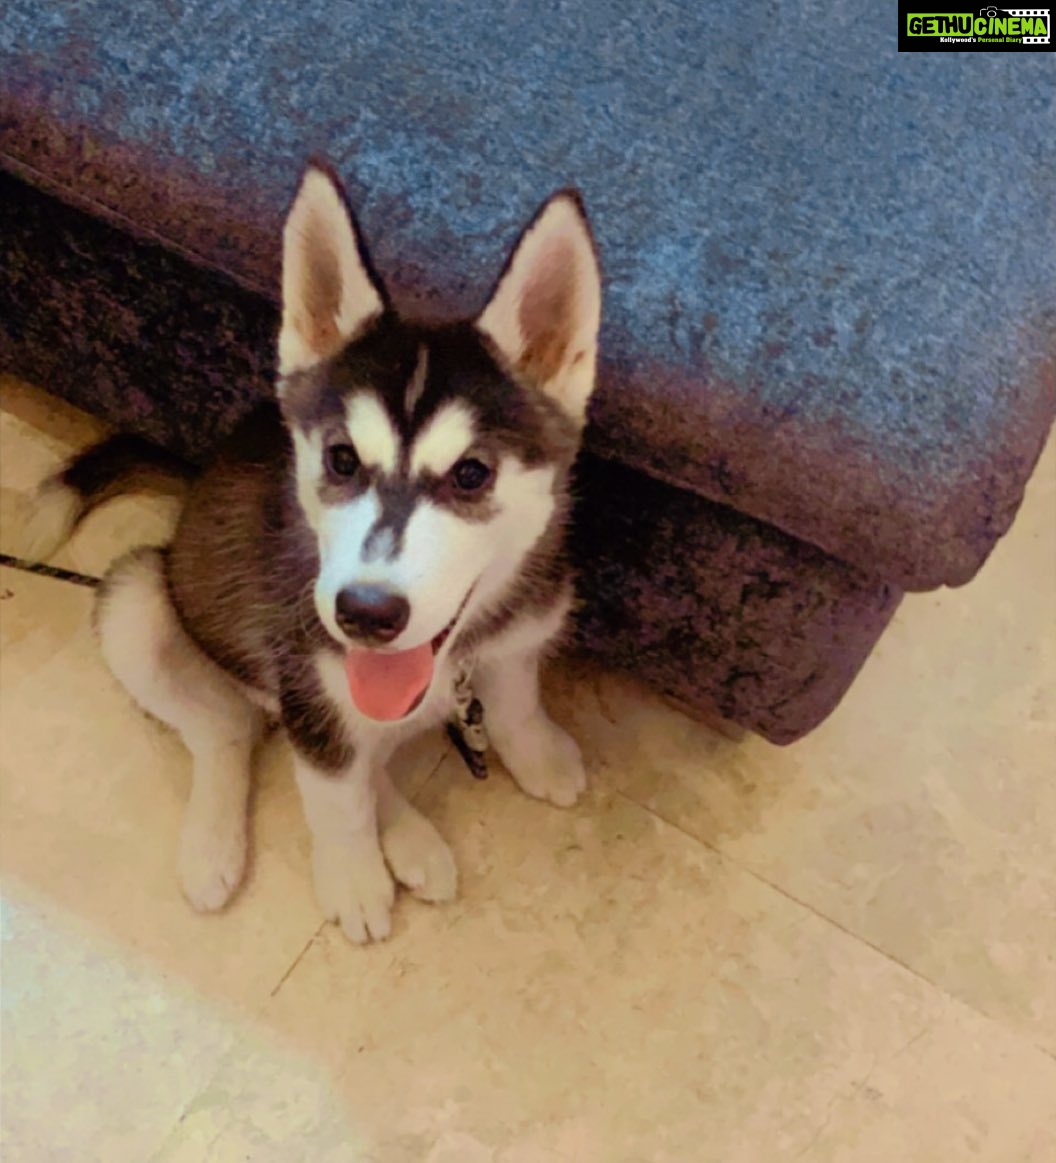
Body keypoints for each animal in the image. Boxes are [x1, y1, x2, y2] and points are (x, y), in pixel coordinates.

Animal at [29, 161, 603, 943]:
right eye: (341, 458)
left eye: (471, 474)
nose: (365, 612)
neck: (453, 654)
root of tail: (200, 474)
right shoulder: (309, 672)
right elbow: (335, 796)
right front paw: (353, 876)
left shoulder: (523, 628)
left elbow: (514, 698)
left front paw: (537, 752)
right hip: (140, 599)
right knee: (227, 733)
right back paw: (216, 844)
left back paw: (410, 837)